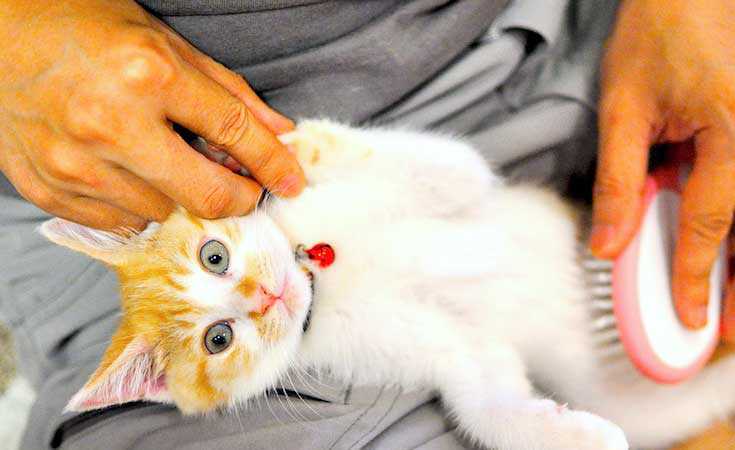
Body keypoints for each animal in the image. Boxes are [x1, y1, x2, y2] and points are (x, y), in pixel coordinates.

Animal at [41, 120, 735, 450]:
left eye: (215, 256)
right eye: (219, 338)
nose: (267, 296)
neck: (327, 276)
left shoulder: (456, 179)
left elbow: (448, 165)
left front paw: (296, 144)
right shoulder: (447, 351)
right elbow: (484, 404)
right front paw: (574, 435)